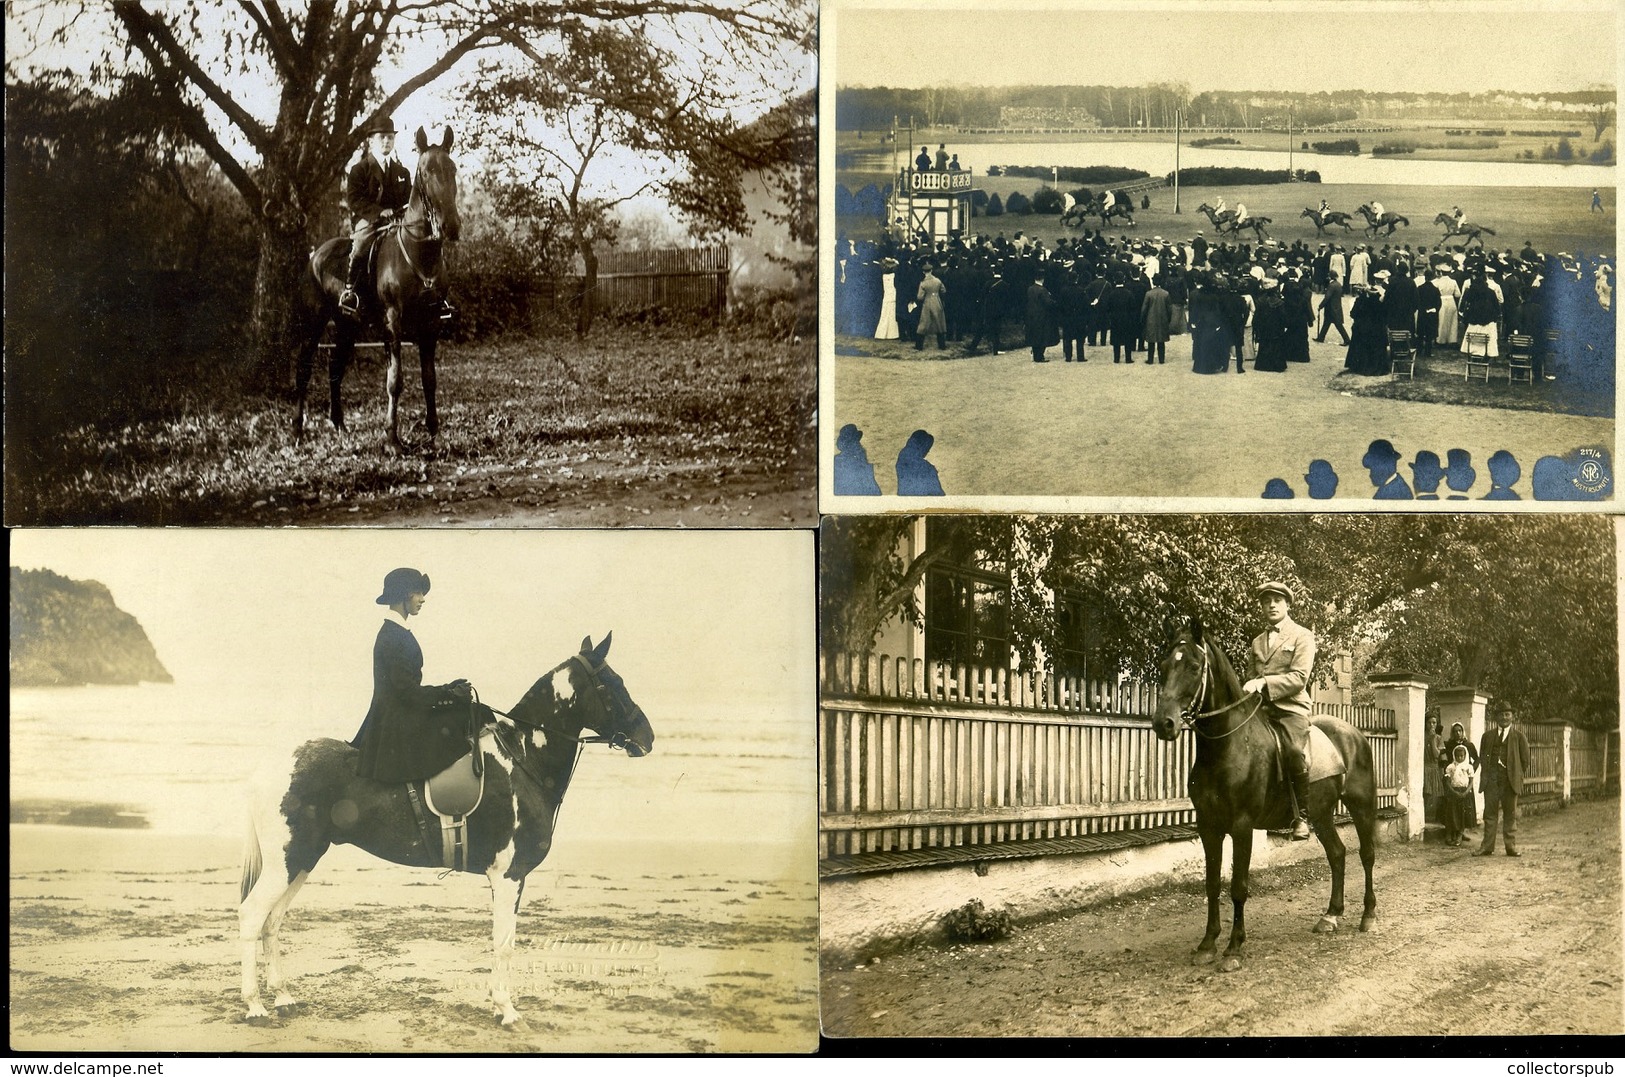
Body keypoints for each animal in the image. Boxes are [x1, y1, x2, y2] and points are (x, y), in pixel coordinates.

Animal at [237, 636, 653, 1033]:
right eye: (612, 684)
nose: (646, 737)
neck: (522, 760)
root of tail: (271, 767)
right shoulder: (509, 875)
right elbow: (504, 944)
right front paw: (507, 1011)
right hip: (287, 861)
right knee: (252, 916)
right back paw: (255, 1006)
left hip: (303, 860)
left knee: (272, 922)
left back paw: (283, 997)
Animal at [289, 127, 458, 454]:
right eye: (426, 172)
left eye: (453, 169)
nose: (451, 227)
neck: (419, 254)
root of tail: (316, 255)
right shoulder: (392, 324)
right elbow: (395, 381)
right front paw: (392, 439)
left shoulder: (430, 325)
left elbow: (429, 379)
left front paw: (434, 434)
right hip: (314, 324)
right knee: (304, 368)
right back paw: (298, 430)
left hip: (347, 326)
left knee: (335, 366)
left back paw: (339, 424)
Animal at [1150, 614, 1378, 974]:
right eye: (1163, 665)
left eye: (1194, 666)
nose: (1164, 723)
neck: (1227, 746)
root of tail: (1353, 733)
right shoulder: (1208, 827)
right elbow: (1211, 884)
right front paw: (1207, 943)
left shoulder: (1242, 827)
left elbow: (1238, 887)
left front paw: (1233, 948)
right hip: (1321, 813)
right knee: (1338, 854)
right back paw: (1330, 916)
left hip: (1361, 804)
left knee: (1366, 854)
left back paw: (1368, 916)